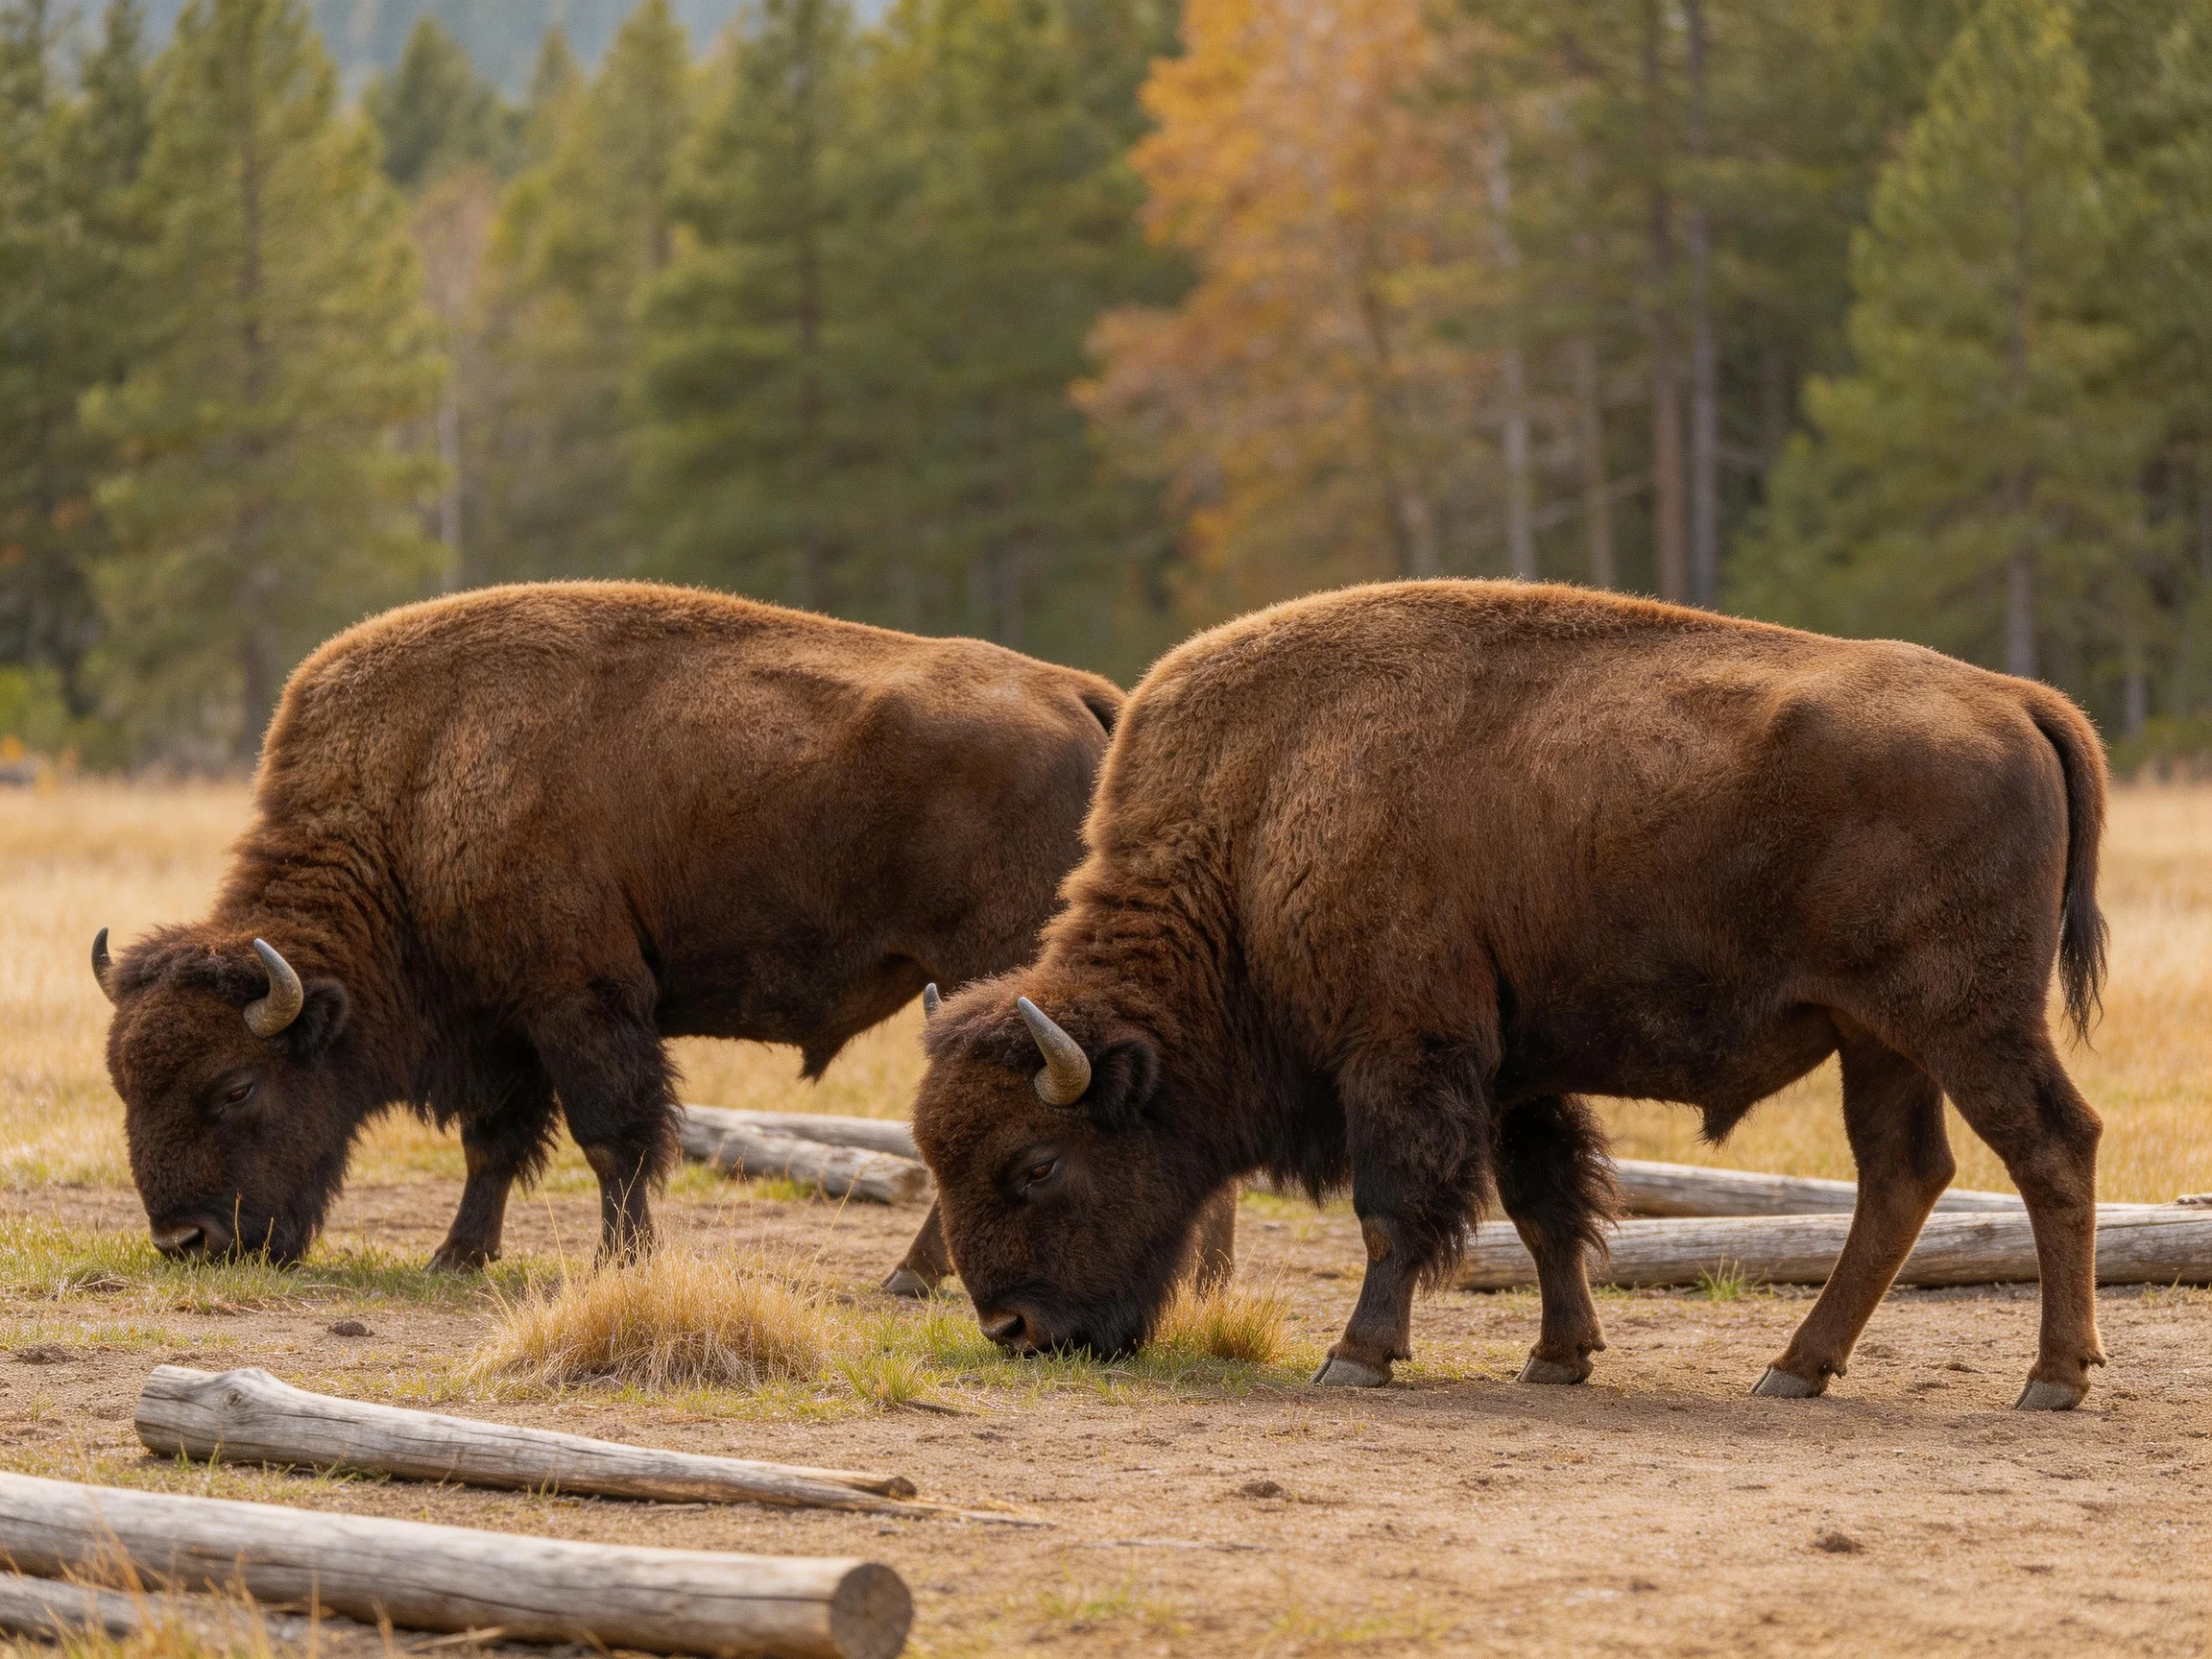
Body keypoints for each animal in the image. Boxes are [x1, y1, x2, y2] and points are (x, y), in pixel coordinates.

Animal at [96, 581, 1166, 1277]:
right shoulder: (506, 1024)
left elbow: (613, 1136)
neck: (419, 781)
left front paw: (622, 1261)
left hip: (998, 984)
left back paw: (909, 1276)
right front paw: (457, 1257)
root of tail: (1080, 695)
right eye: (124, 1084)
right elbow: (494, 1145)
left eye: (234, 1086)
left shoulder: (580, 1001)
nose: (186, 1241)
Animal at [912, 580, 2111, 1411]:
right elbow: (1543, 1204)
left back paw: (2052, 1378)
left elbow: (1396, 1207)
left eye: (1036, 1163)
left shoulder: (1403, 1049)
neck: (1258, 817)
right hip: (1880, 1039)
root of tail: (2019, 699)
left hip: (1966, 1022)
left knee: (2051, 1148)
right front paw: (1558, 1357)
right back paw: (1795, 1369)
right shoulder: (1513, 1072)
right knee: (1902, 1177)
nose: (1012, 1328)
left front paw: (1356, 1357)